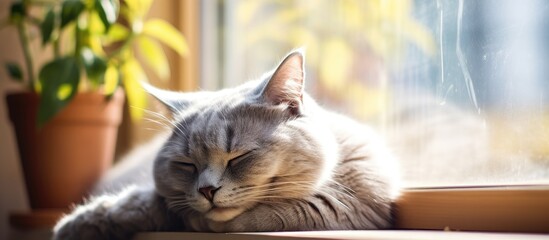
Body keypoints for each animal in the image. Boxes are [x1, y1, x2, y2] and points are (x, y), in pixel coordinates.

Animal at [52, 49, 398, 240]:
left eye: (238, 157)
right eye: (186, 165)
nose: (207, 190)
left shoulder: (354, 205)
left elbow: (269, 212)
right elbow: (142, 201)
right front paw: (79, 224)